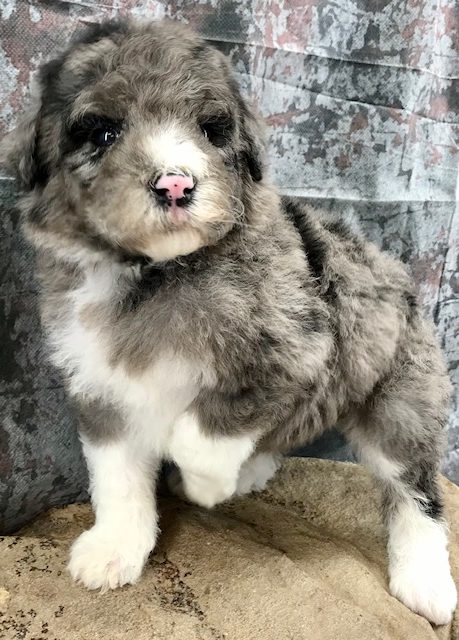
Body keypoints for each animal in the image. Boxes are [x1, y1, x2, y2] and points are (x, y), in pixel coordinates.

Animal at [1, 19, 456, 626]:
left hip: (402, 399)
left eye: (210, 130)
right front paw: (115, 548)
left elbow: (207, 424)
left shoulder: (293, 351)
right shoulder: (101, 387)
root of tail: (389, 262)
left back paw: (425, 581)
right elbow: (116, 478)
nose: (175, 185)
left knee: (415, 490)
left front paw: (205, 484)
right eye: (103, 133)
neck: (156, 274)